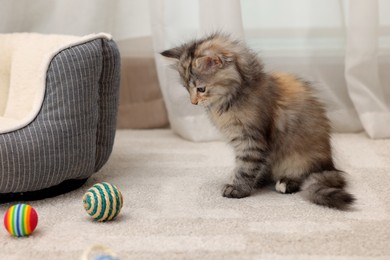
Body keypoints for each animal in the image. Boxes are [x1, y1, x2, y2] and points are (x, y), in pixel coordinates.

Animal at [160, 32, 354, 209]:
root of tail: (328, 165)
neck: (232, 97)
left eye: (201, 89)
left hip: (297, 158)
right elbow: (249, 166)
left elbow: (245, 166)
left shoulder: (251, 140)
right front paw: (245, 182)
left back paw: (285, 183)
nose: (193, 102)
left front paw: (237, 189)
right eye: (186, 89)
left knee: (305, 177)